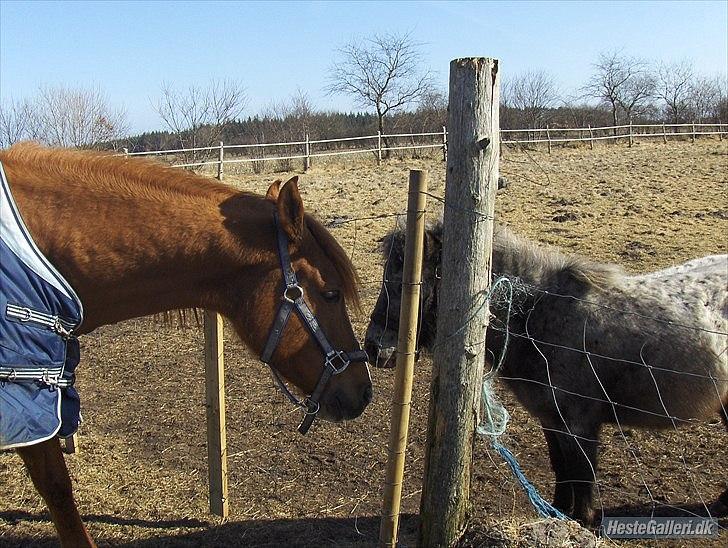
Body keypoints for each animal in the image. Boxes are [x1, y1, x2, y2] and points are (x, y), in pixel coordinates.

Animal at [366, 220, 724, 524]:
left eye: (405, 285)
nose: (373, 347)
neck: (539, 315)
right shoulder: (551, 420)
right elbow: (561, 467)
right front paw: (558, 514)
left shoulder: (579, 425)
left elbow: (581, 473)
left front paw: (582, 520)